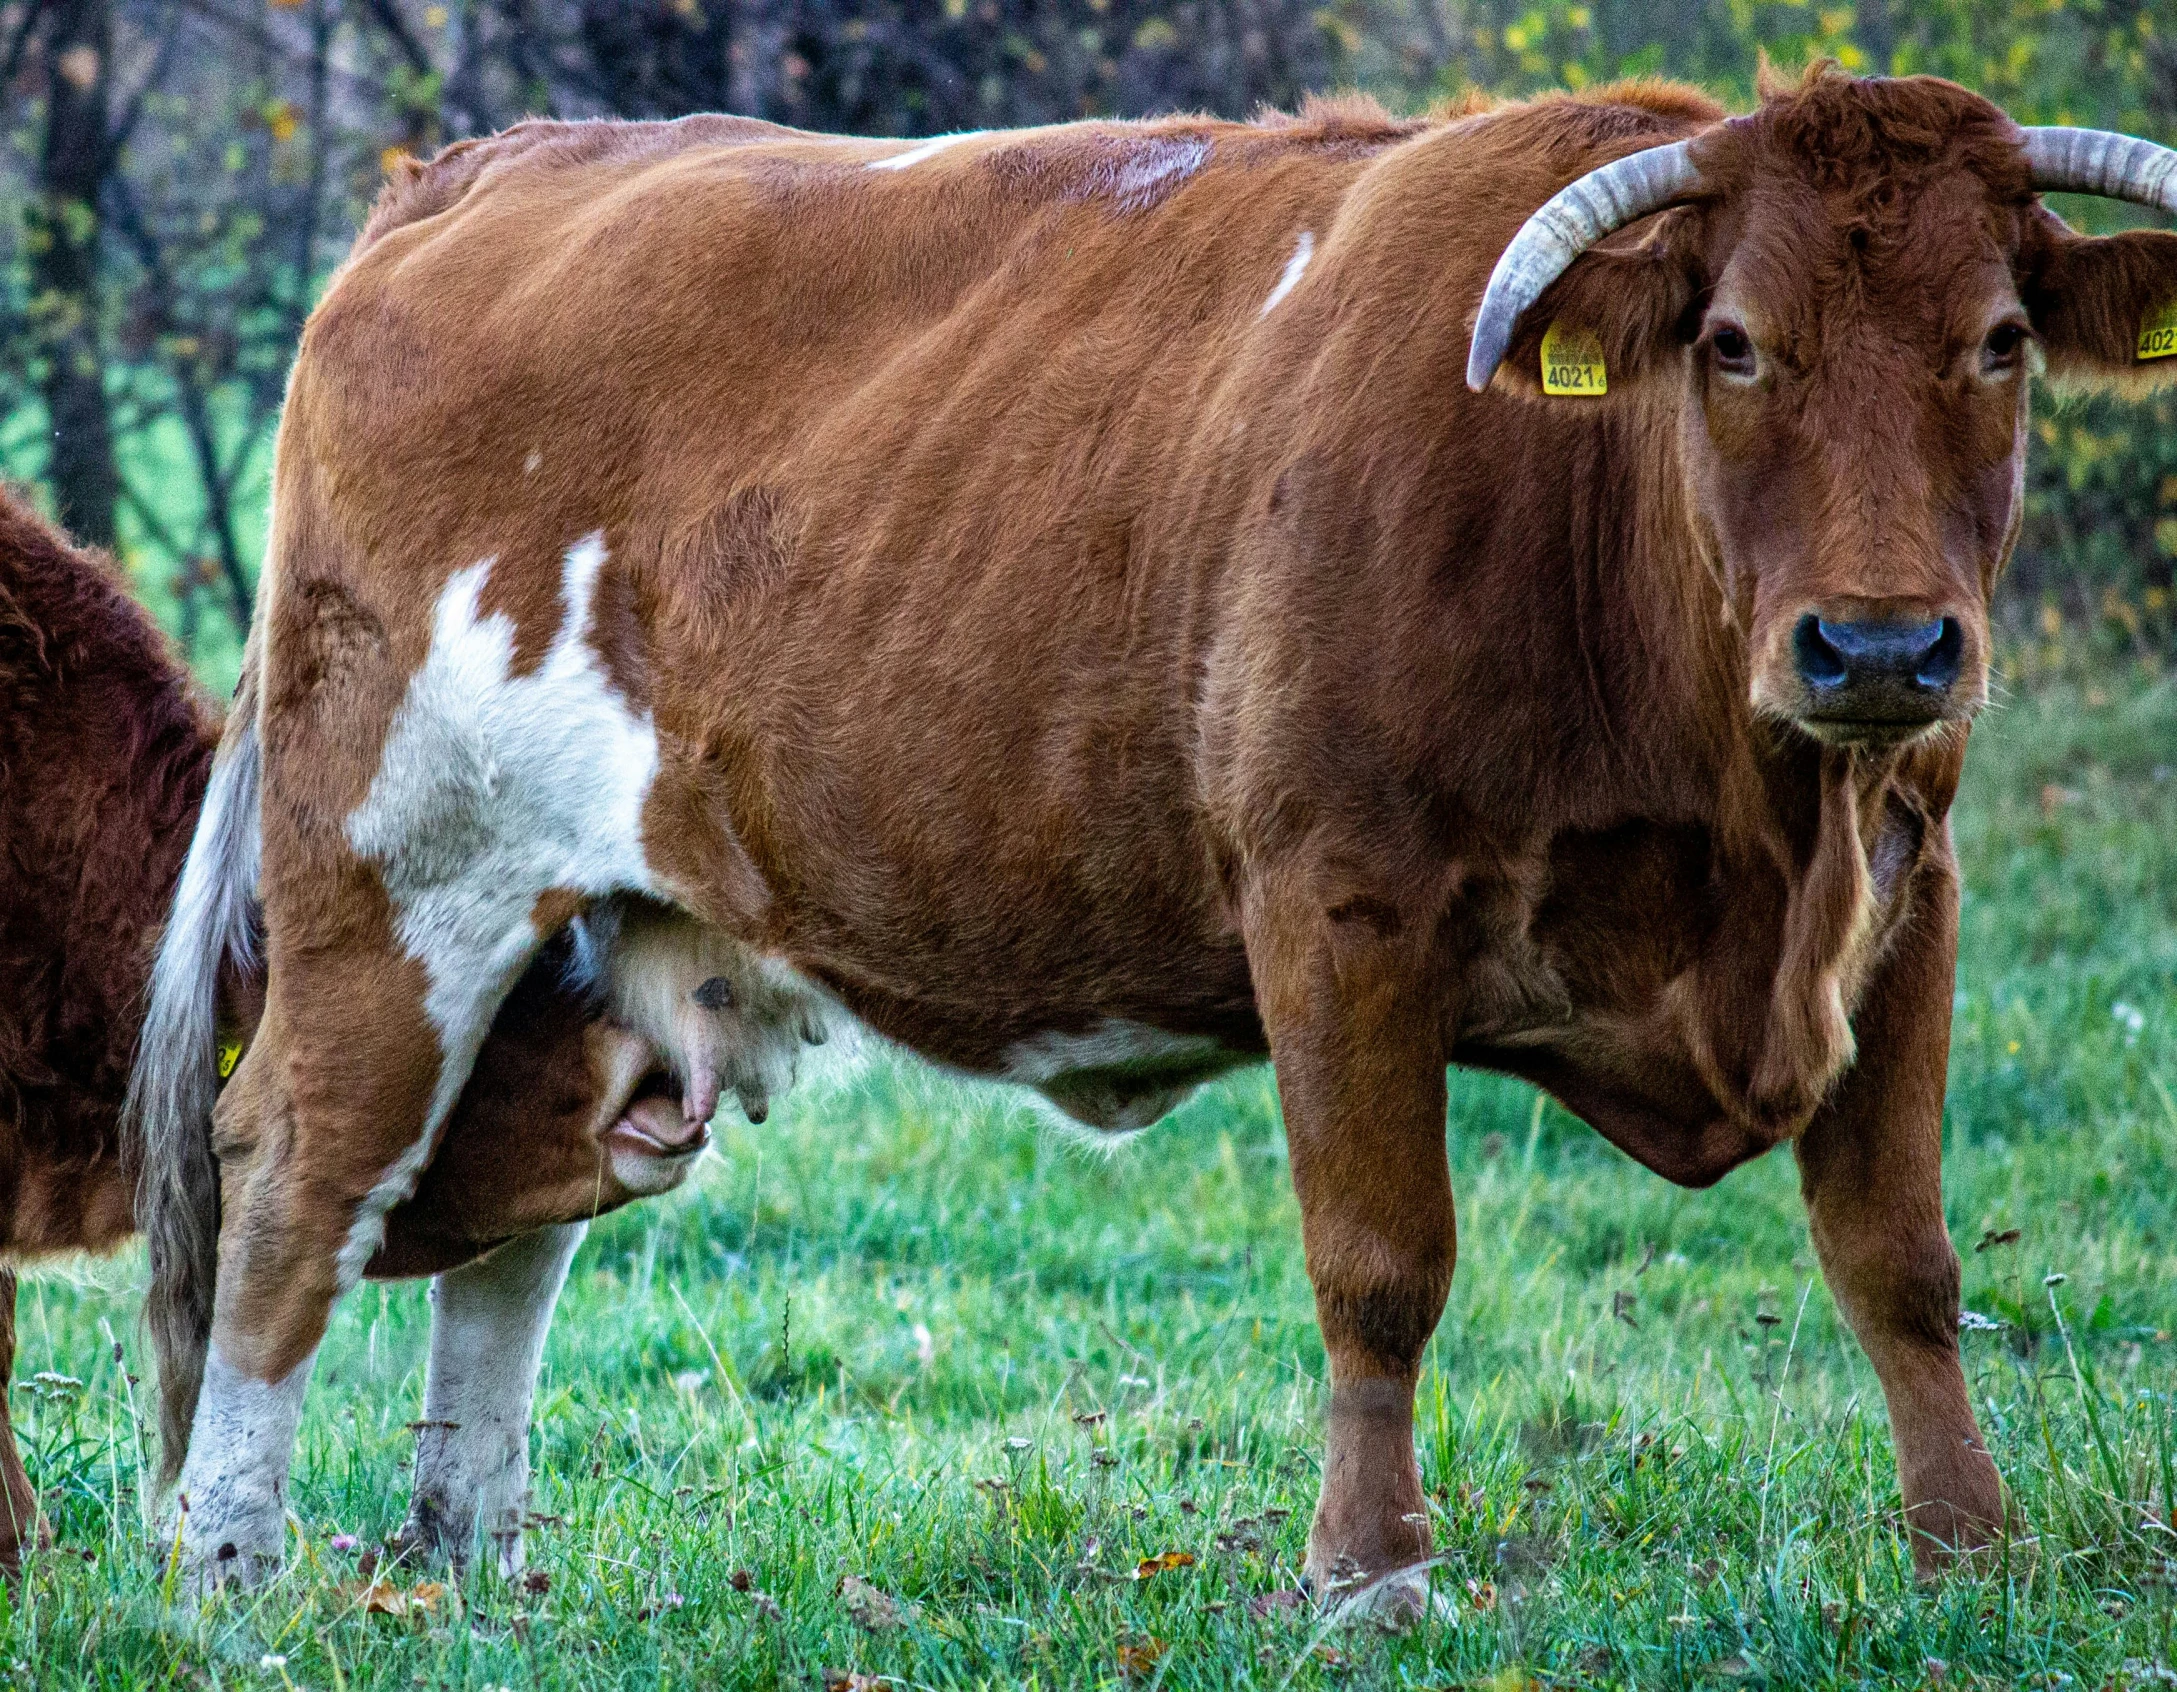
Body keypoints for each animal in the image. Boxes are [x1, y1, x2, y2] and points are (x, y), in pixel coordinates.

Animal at [131, 59, 2177, 1602]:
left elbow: (1900, 1258)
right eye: (1736, 344)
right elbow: (1382, 1264)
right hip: (399, 877)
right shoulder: (1339, 903)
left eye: (2000, 340)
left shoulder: (1907, 894)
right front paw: (1370, 1576)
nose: (1879, 644)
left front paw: (1965, 1550)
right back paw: (230, 1566)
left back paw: (467, 1559)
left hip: (592, 930)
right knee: (296, 1171)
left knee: (514, 1230)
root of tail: (494, 165)